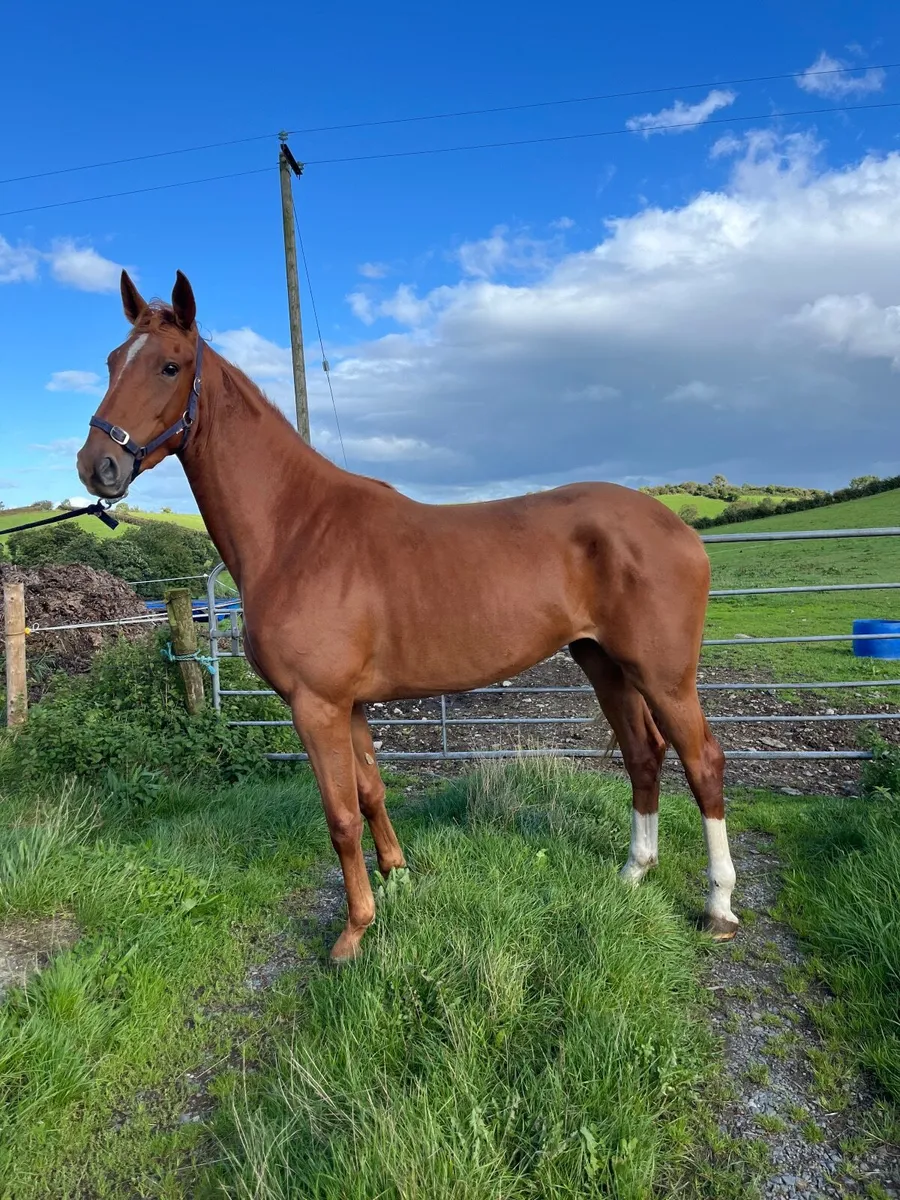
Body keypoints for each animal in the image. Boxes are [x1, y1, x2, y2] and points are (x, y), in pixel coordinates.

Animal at [77, 270, 738, 961]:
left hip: (663, 675)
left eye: (169, 366)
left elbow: (340, 817)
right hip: (604, 662)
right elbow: (370, 794)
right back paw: (634, 872)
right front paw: (396, 878)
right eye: (112, 361)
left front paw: (353, 931)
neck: (297, 531)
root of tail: (676, 528)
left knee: (703, 763)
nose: (98, 465)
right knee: (643, 754)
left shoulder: (315, 706)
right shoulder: (351, 706)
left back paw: (718, 906)